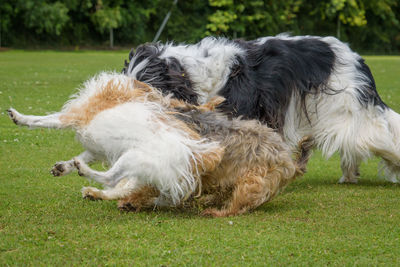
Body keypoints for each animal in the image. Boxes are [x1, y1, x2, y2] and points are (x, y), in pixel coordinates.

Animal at [122, 34, 400, 184]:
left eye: (147, 91)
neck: (194, 73)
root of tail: (356, 58)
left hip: (345, 109)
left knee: (376, 136)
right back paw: (349, 174)